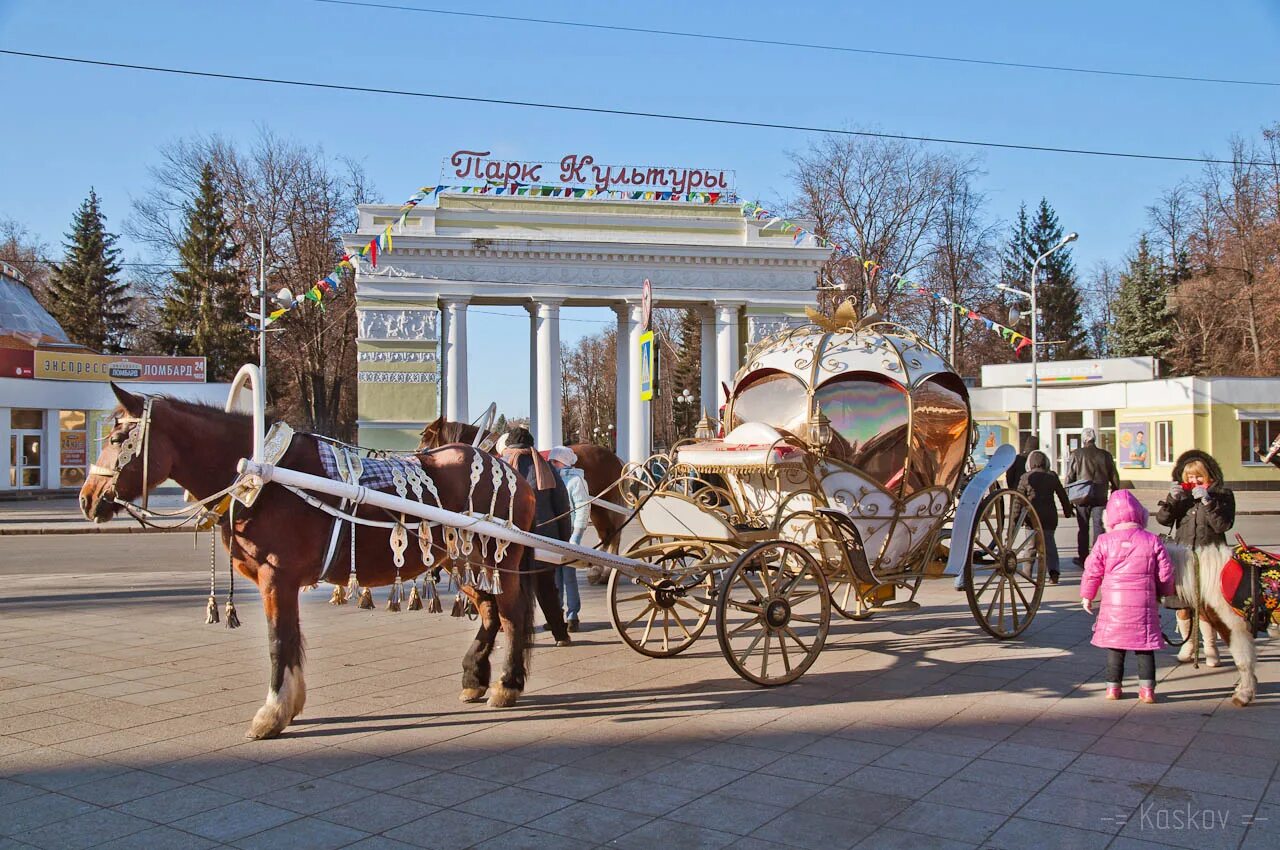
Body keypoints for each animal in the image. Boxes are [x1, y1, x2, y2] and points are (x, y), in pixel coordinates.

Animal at [78, 384, 540, 737]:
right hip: (462, 563)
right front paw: (289, 704)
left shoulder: (276, 577)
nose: (86, 498)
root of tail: (509, 470)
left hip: (498, 561)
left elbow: (278, 641)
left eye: (117, 440)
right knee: (490, 613)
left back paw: (507, 684)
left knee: (512, 614)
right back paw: (476, 678)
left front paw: (272, 713)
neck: (264, 476)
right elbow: (291, 638)